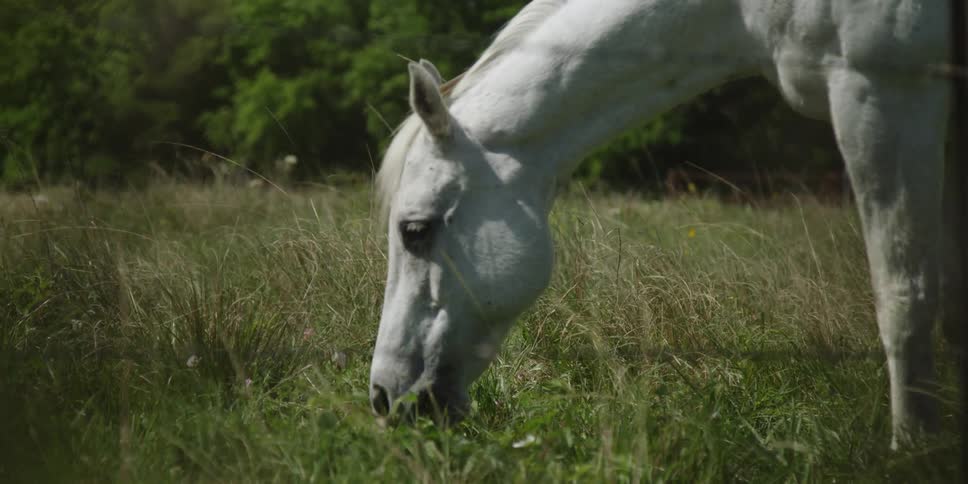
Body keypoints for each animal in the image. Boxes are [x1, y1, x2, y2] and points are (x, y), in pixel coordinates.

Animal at [367, 0, 962, 449]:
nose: (383, 397)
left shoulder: (884, 94)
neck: (743, 9)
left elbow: (903, 298)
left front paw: (912, 452)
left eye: (414, 231)